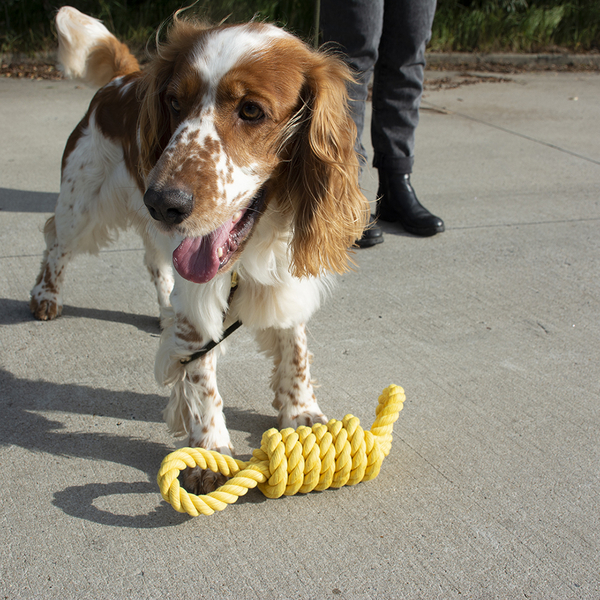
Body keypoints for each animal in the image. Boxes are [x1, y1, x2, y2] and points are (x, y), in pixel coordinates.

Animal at [31, 5, 370, 492]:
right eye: (174, 102)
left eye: (251, 110)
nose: (162, 201)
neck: (254, 244)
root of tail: (125, 78)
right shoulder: (200, 302)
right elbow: (200, 377)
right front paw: (209, 452)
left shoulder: (284, 276)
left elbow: (295, 348)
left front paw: (301, 412)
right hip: (83, 203)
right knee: (55, 241)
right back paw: (46, 296)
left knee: (156, 265)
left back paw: (161, 313)